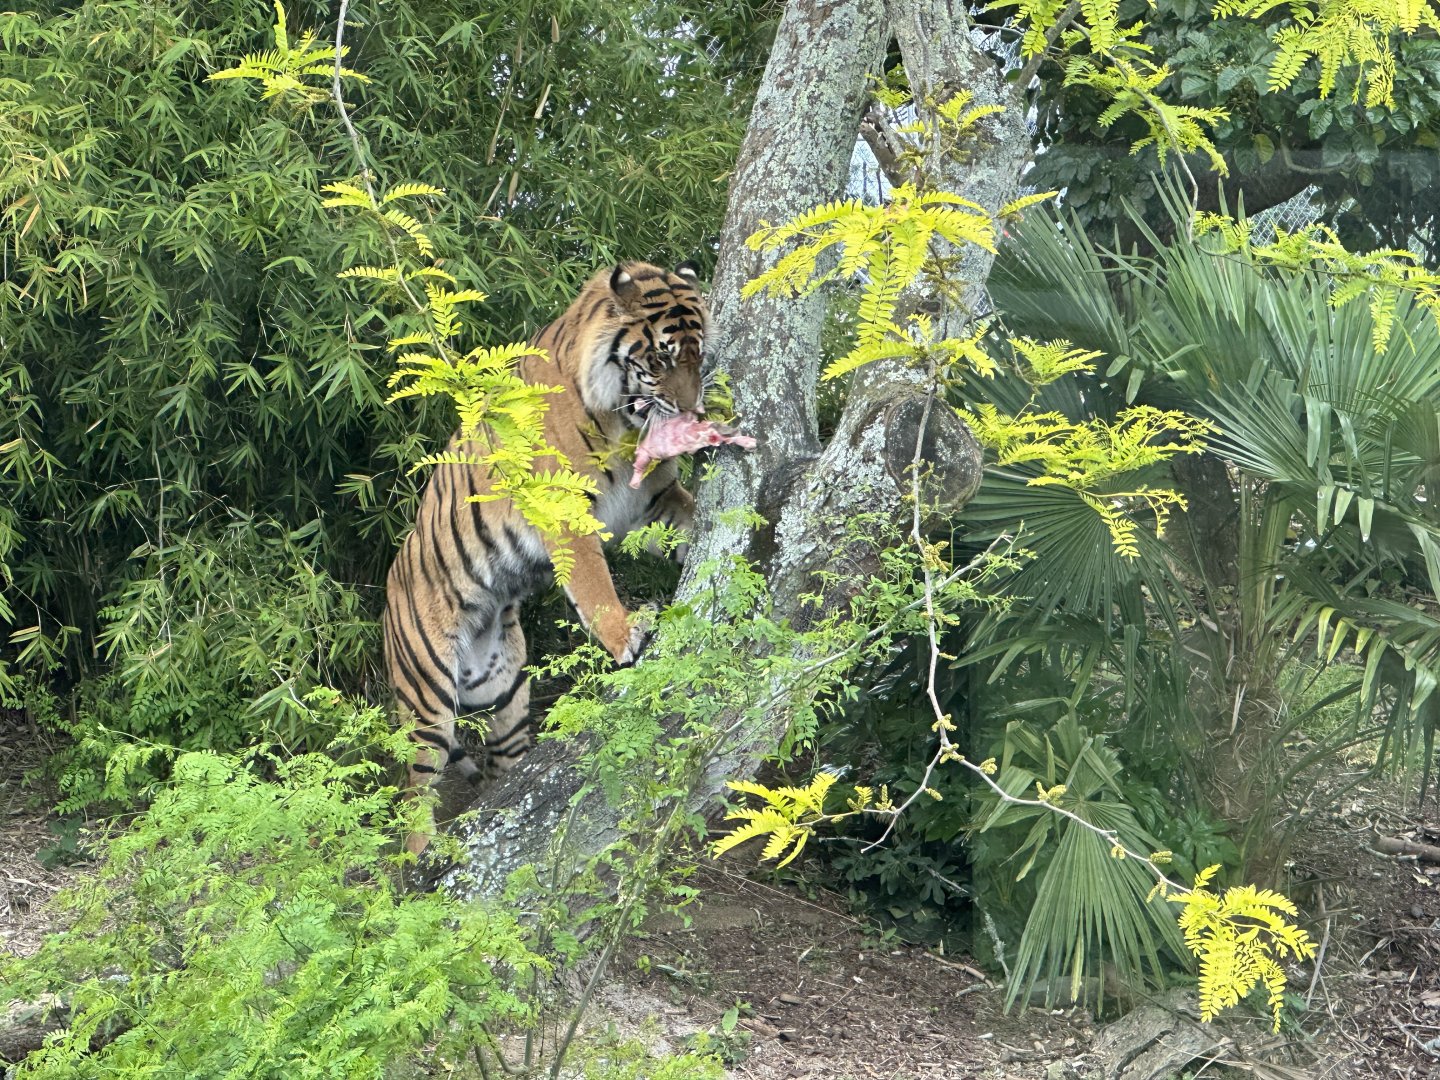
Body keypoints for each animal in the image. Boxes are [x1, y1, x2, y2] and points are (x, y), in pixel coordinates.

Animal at [383, 260, 708, 852]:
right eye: (662, 358)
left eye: (700, 356)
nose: (694, 411)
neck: (621, 420)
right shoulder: (565, 515)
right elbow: (595, 587)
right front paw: (628, 635)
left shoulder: (652, 504)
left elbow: (691, 519)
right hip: (426, 704)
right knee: (414, 799)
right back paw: (421, 860)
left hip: (505, 692)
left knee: (500, 779)